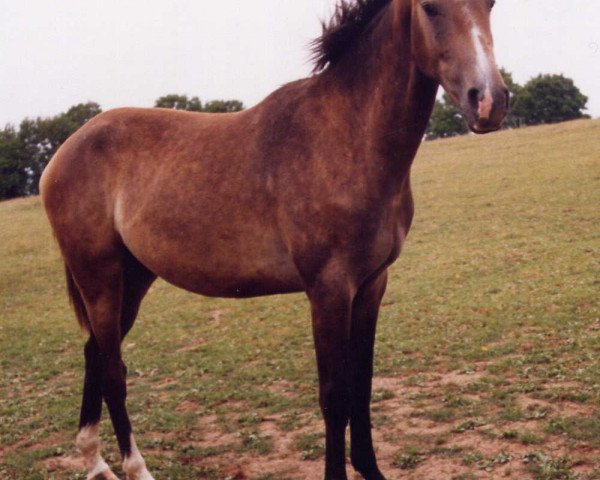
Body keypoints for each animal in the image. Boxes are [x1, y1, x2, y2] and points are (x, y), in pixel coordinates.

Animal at [38, 0, 506, 480]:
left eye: (491, 6)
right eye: (430, 8)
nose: (489, 101)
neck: (347, 135)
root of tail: (63, 152)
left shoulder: (372, 284)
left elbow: (362, 385)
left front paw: (370, 468)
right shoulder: (329, 290)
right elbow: (335, 396)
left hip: (131, 280)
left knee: (95, 355)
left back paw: (96, 463)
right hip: (100, 279)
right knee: (113, 370)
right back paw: (135, 468)